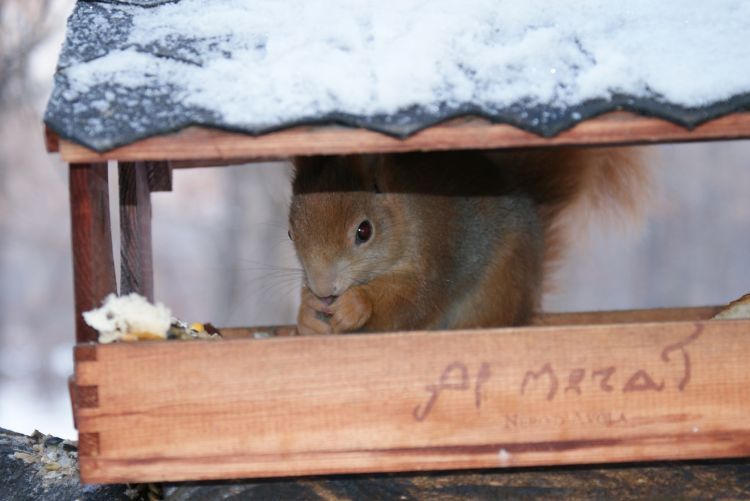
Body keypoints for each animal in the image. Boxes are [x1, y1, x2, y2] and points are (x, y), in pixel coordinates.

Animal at [290, 148, 644, 336]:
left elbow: (413, 303)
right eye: (291, 233)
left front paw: (356, 305)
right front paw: (308, 313)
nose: (323, 289)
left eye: (364, 231)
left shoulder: (436, 256)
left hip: (497, 290)